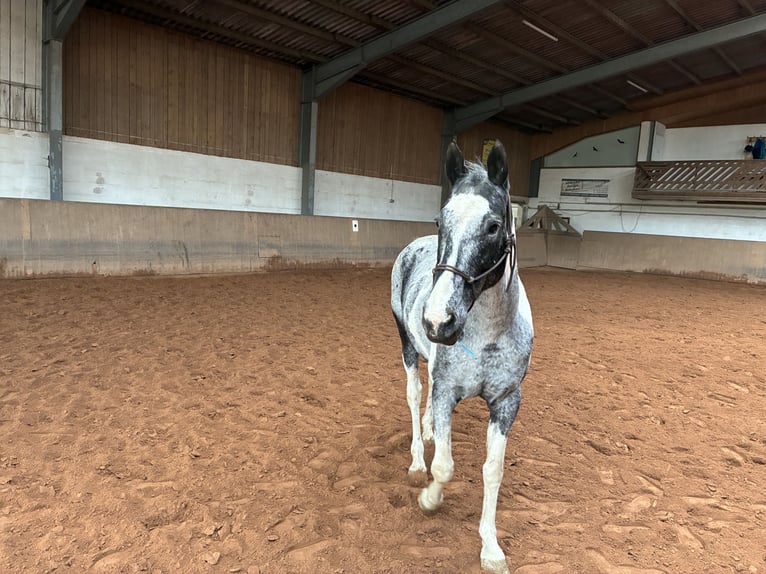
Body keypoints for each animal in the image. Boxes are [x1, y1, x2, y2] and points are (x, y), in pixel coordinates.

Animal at [390, 140, 534, 574]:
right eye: (441, 221)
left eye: (493, 226)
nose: (439, 321)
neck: (487, 335)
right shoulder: (445, 392)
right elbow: (444, 466)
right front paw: (429, 499)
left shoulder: (506, 401)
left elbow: (493, 470)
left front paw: (490, 548)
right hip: (408, 349)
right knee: (414, 396)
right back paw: (417, 462)